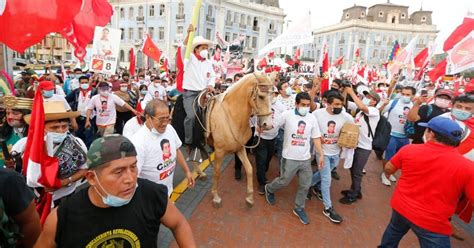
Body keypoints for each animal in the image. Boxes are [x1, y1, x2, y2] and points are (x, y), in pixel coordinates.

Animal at [206, 71, 276, 207]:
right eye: (261, 97)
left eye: (273, 96)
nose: (268, 125)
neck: (231, 116)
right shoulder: (219, 152)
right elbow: (217, 172)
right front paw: (215, 196)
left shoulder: (240, 148)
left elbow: (249, 169)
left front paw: (249, 197)